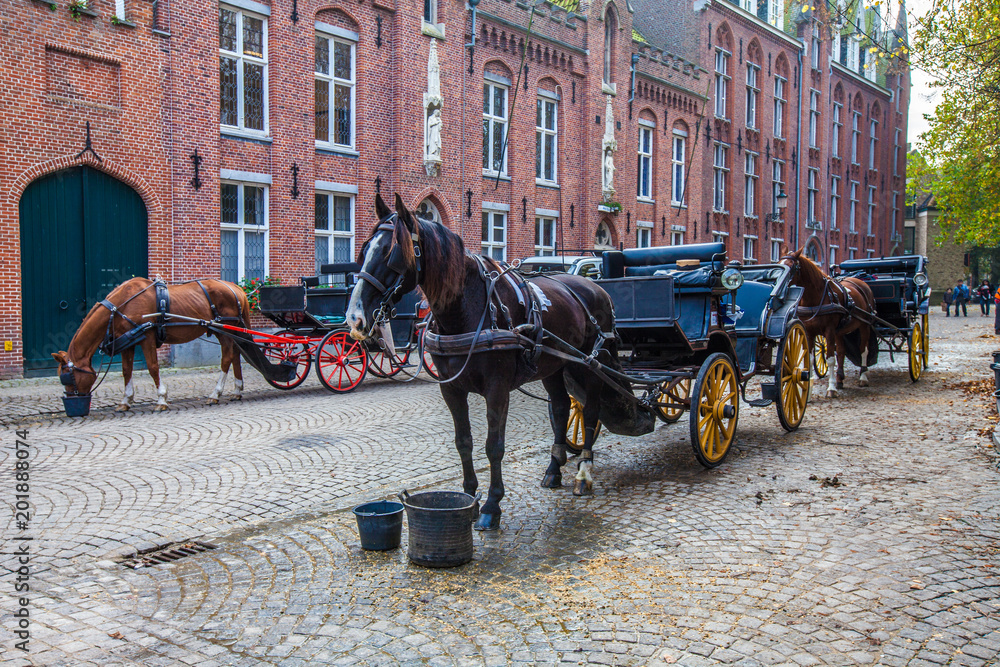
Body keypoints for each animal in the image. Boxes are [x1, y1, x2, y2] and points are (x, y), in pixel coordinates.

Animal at [51, 276, 249, 412]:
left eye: (67, 376)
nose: (71, 399)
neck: (120, 307)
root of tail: (235, 288)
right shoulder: (128, 343)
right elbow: (126, 370)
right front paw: (126, 401)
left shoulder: (147, 337)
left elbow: (153, 367)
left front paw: (161, 400)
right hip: (225, 330)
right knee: (236, 356)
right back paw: (237, 391)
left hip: (224, 330)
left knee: (227, 358)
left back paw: (215, 394)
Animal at [348, 194, 652, 532]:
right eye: (363, 250)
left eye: (392, 254)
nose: (355, 316)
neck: (468, 309)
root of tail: (597, 287)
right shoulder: (452, 389)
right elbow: (464, 441)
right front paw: (470, 498)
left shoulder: (497, 389)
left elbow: (494, 445)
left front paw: (492, 505)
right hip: (554, 367)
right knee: (561, 408)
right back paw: (554, 469)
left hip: (590, 365)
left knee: (590, 412)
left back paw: (584, 473)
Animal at [780, 249, 876, 396]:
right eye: (778, 263)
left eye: (792, 267)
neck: (814, 298)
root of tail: (861, 282)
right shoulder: (810, 332)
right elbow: (810, 359)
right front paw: (809, 389)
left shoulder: (829, 331)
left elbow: (830, 360)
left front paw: (831, 388)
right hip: (841, 331)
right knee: (841, 351)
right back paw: (840, 379)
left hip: (865, 325)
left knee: (863, 350)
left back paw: (863, 378)